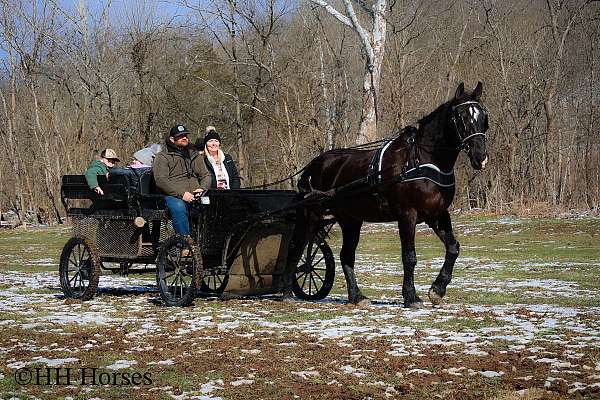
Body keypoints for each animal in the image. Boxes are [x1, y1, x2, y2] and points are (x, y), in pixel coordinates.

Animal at [288, 80, 490, 306]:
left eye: (483, 118)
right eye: (462, 117)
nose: (480, 158)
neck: (421, 161)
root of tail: (314, 164)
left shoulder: (437, 214)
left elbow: (453, 248)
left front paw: (437, 290)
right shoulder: (407, 215)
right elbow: (409, 257)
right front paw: (411, 296)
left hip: (350, 220)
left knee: (345, 255)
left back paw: (356, 296)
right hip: (312, 215)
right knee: (297, 247)